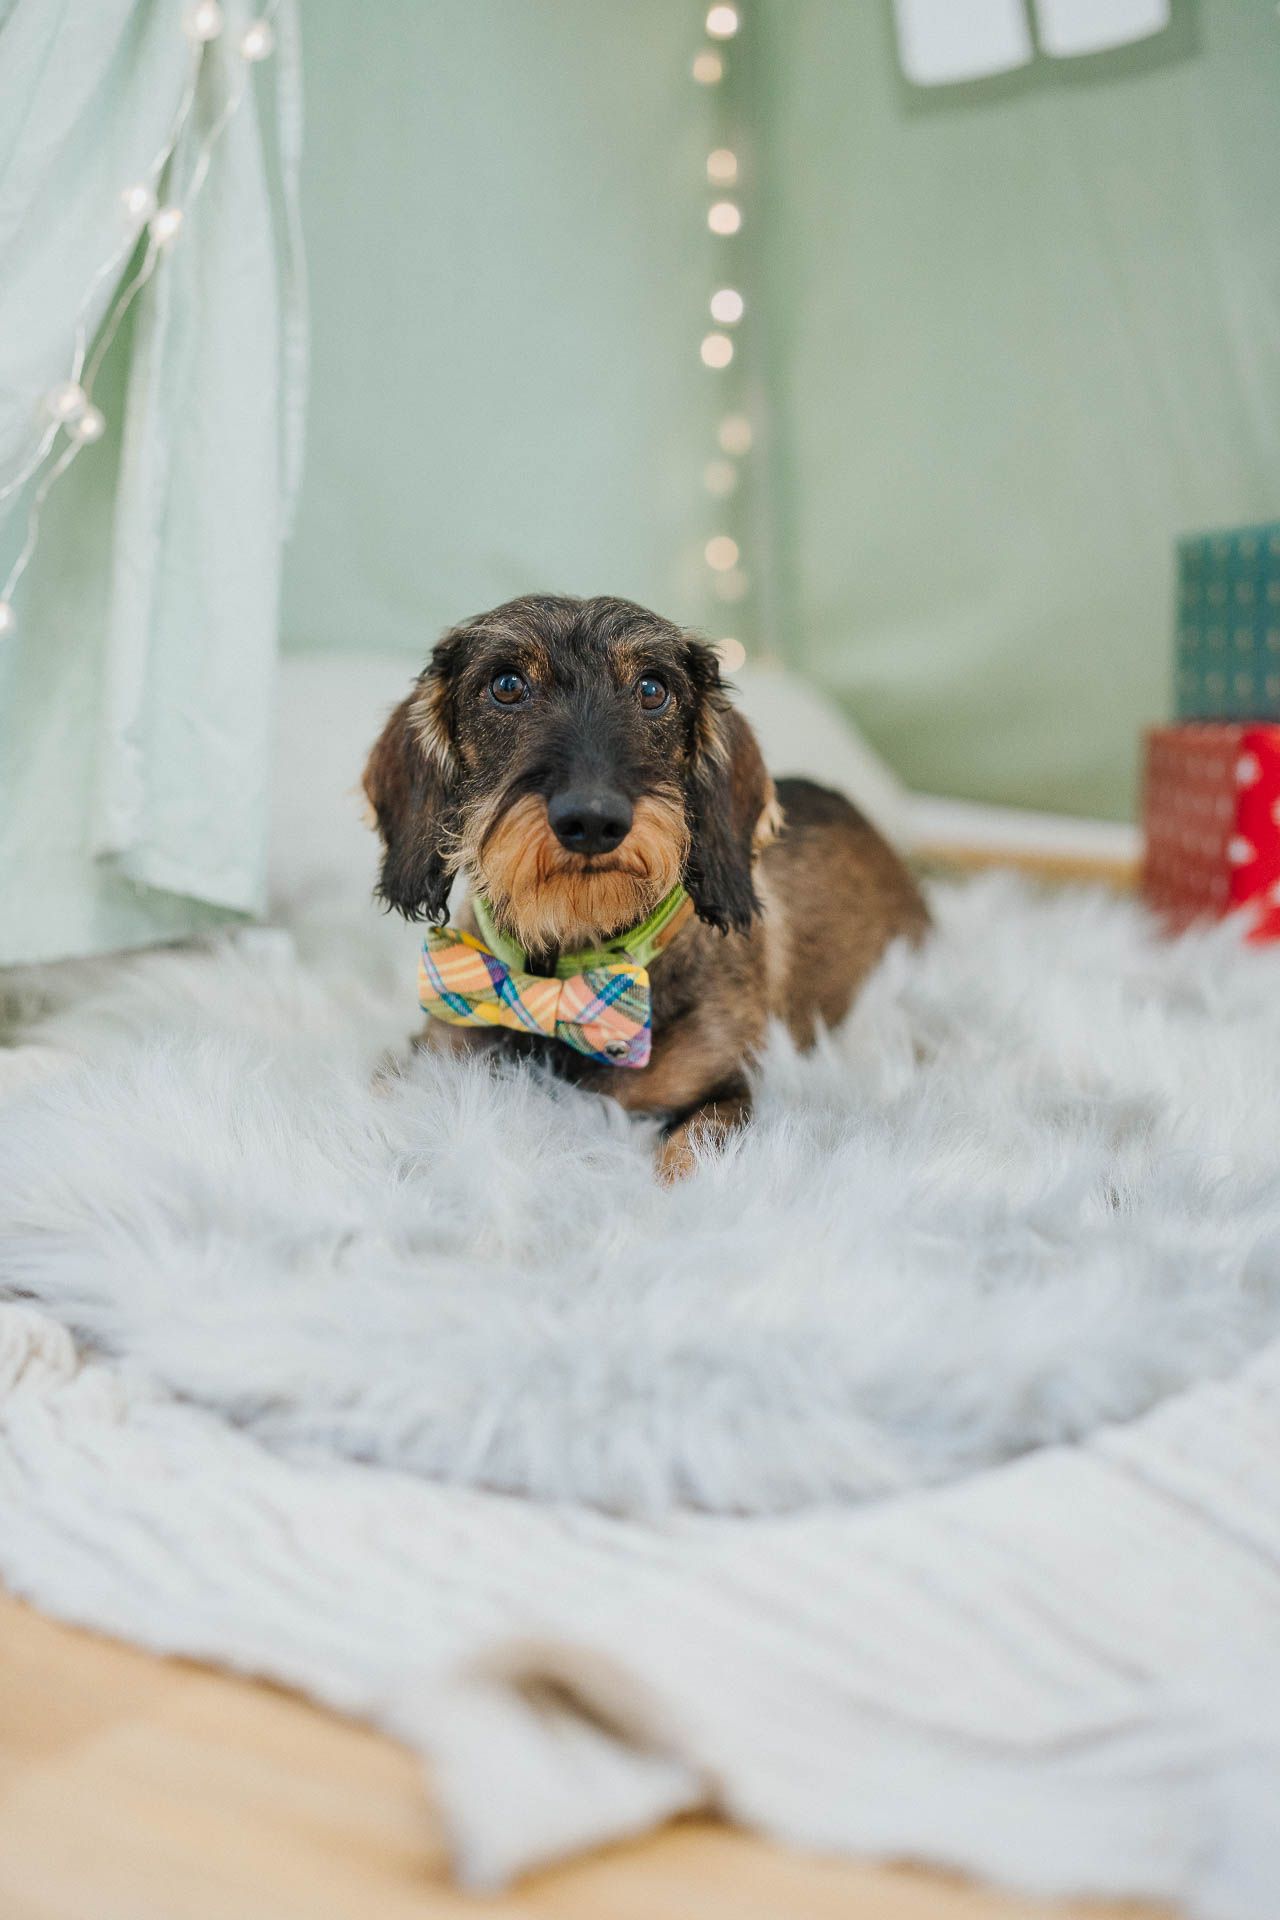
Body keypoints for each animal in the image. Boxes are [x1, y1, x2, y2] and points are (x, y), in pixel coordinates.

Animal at [363, 593, 928, 1179]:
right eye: (507, 684)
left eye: (653, 689)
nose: (593, 820)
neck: (570, 967)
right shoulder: (433, 1055)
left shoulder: (730, 1093)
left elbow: (688, 1150)